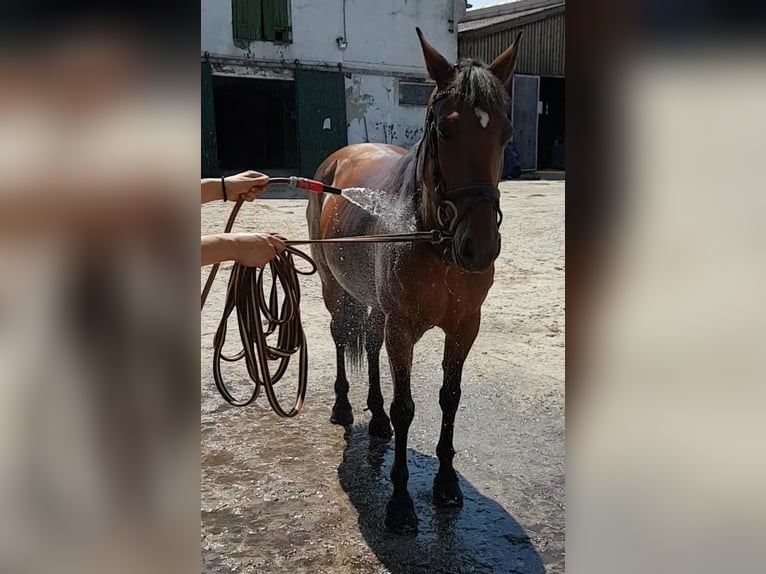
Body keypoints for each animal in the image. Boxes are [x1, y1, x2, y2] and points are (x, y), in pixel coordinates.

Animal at [306, 28, 520, 536]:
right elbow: (407, 408)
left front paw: (446, 484)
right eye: (444, 130)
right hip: (335, 291)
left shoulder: (464, 327)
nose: (478, 247)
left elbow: (449, 398)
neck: (433, 240)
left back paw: (375, 415)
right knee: (342, 336)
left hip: (376, 306)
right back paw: (345, 407)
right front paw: (401, 503)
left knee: (368, 340)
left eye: (506, 133)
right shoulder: (402, 328)